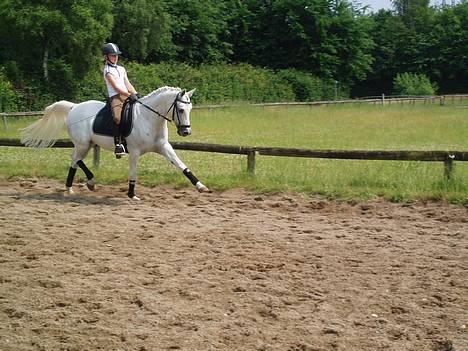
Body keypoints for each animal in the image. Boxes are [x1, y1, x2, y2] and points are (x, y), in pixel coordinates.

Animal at [22, 86, 208, 199]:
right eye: (181, 110)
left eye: (190, 109)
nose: (186, 132)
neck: (149, 118)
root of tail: (74, 107)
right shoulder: (134, 152)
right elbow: (133, 172)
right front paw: (132, 194)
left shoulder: (163, 147)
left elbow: (181, 165)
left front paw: (200, 186)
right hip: (83, 144)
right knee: (75, 159)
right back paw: (72, 187)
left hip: (88, 144)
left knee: (75, 158)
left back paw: (86, 183)